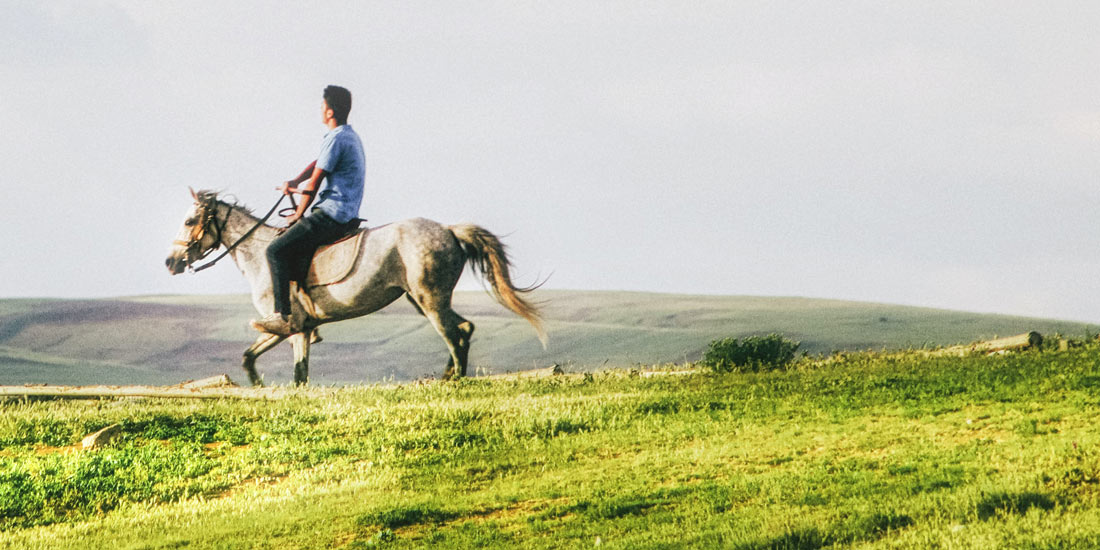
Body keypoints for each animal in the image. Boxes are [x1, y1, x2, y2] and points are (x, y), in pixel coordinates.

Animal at [161, 189, 545, 387]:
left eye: (190, 221)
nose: (171, 262)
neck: (257, 253)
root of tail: (449, 230)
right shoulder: (301, 329)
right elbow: (268, 363)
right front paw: (260, 388)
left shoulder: (288, 326)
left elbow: (282, 368)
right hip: (423, 299)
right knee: (463, 328)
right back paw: (447, 377)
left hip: (429, 299)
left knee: (455, 333)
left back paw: (454, 381)